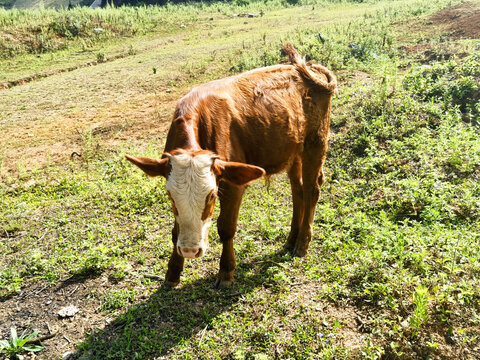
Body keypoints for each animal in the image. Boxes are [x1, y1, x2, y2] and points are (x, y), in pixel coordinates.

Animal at [125, 43, 336, 288]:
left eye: (212, 195)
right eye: (169, 195)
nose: (189, 250)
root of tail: (308, 70)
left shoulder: (233, 183)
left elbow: (226, 228)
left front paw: (226, 272)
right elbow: (175, 230)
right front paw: (172, 273)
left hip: (316, 141)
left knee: (312, 188)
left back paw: (302, 244)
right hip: (293, 150)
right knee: (298, 189)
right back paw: (291, 240)